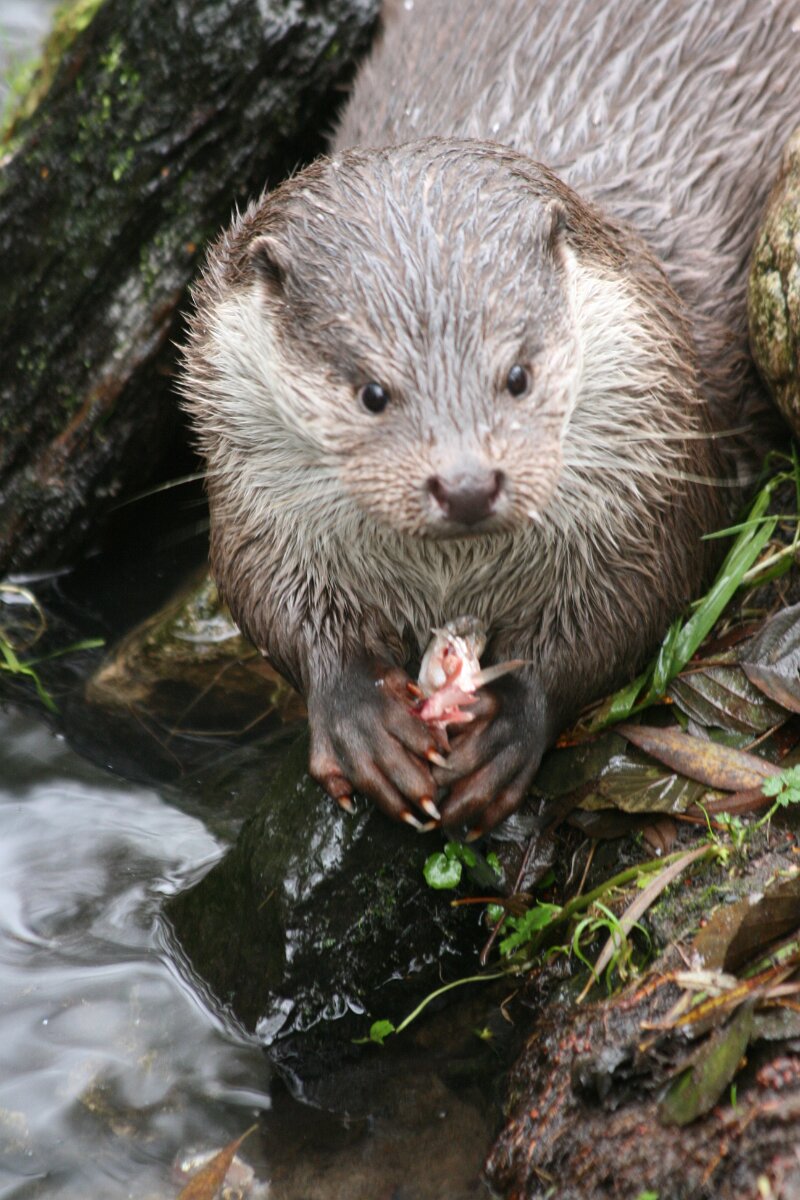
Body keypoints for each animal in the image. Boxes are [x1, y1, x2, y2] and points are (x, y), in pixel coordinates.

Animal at [181, 0, 795, 837]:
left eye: (517, 375)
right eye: (372, 391)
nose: (467, 483)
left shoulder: (655, 467)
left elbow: (637, 596)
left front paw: (510, 722)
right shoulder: (251, 486)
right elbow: (262, 591)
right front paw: (361, 718)